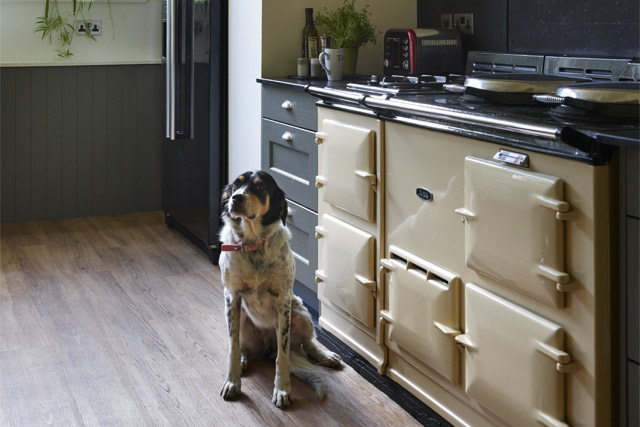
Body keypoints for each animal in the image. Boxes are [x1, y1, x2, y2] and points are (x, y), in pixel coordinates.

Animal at [219, 170, 342, 408]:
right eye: (236, 184)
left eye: (259, 187)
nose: (235, 198)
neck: (253, 244)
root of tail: (267, 347)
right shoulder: (232, 297)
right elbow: (232, 348)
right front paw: (232, 382)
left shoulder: (283, 301)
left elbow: (282, 356)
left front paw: (283, 390)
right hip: (242, 318)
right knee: (243, 348)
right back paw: (243, 361)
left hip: (300, 313)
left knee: (307, 344)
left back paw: (325, 356)